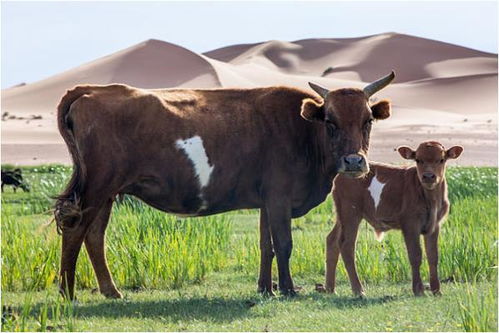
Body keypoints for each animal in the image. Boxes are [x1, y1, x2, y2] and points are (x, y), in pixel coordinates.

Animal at [54, 72, 396, 298]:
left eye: (367, 121)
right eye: (330, 122)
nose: (354, 162)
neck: (302, 130)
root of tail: (92, 89)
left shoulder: (265, 200)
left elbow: (266, 245)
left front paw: (265, 288)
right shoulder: (279, 197)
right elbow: (284, 244)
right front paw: (287, 289)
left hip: (107, 193)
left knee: (94, 236)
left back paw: (110, 290)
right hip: (96, 187)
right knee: (76, 229)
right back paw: (67, 292)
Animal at [326, 140, 462, 296]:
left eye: (441, 159)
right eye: (418, 160)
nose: (428, 176)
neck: (431, 199)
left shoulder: (435, 225)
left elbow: (433, 256)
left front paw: (437, 290)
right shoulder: (410, 224)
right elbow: (415, 255)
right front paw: (418, 290)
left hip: (341, 214)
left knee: (332, 240)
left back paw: (329, 288)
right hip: (350, 212)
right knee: (347, 245)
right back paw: (358, 290)